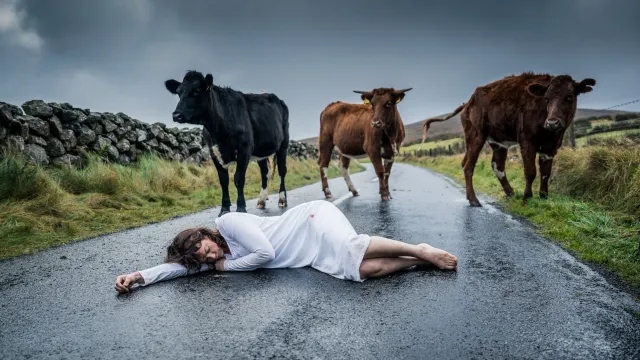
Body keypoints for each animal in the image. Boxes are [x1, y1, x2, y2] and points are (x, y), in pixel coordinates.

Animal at [165, 70, 290, 217]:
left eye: (196, 91)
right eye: (179, 92)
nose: (176, 115)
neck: (219, 131)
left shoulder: (244, 150)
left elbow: (238, 179)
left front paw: (241, 208)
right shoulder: (214, 152)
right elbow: (223, 181)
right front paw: (224, 208)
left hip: (284, 144)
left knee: (282, 171)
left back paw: (282, 200)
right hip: (261, 151)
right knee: (264, 172)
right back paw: (261, 201)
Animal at [422, 71, 596, 207]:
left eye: (569, 97)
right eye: (546, 98)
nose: (552, 122)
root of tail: (469, 101)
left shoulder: (551, 147)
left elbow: (546, 173)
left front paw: (544, 197)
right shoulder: (527, 141)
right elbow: (530, 171)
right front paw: (527, 198)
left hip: (497, 142)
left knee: (497, 165)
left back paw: (510, 192)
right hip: (475, 136)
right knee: (468, 166)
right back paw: (474, 200)